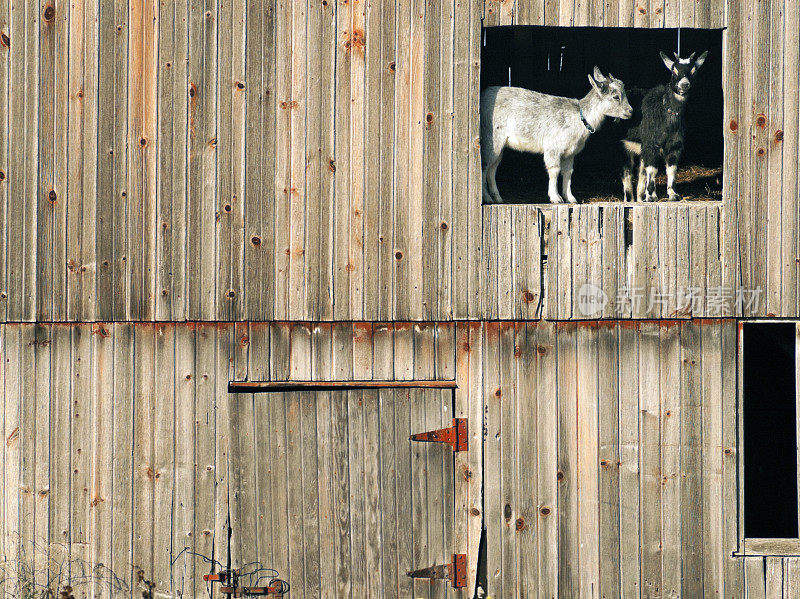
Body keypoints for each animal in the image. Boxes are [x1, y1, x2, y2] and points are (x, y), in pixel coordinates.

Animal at [482, 67, 632, 204]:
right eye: (616, 97)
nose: (630, 111)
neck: (579, 118)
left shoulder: (570, 152)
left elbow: (568, 172)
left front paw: (570, 198)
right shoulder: (553, 148)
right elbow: (554, 170)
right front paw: (556, 198)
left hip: (499, 145)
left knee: (492, 169)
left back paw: (497, 198)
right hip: (491, 139)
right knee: (484, 165)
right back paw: (487, 198)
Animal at [620, 51, 708, 202]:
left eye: (694, 71)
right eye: (673, 70)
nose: (684, 85)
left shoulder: (675, 144)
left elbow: (671, 168)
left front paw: (673, 194)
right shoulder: (651, 143)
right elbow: (652, 169)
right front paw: (651, 196)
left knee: (641, 171)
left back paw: (640, 198)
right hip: (623, 145)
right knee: (626, 171)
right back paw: (629, 199)